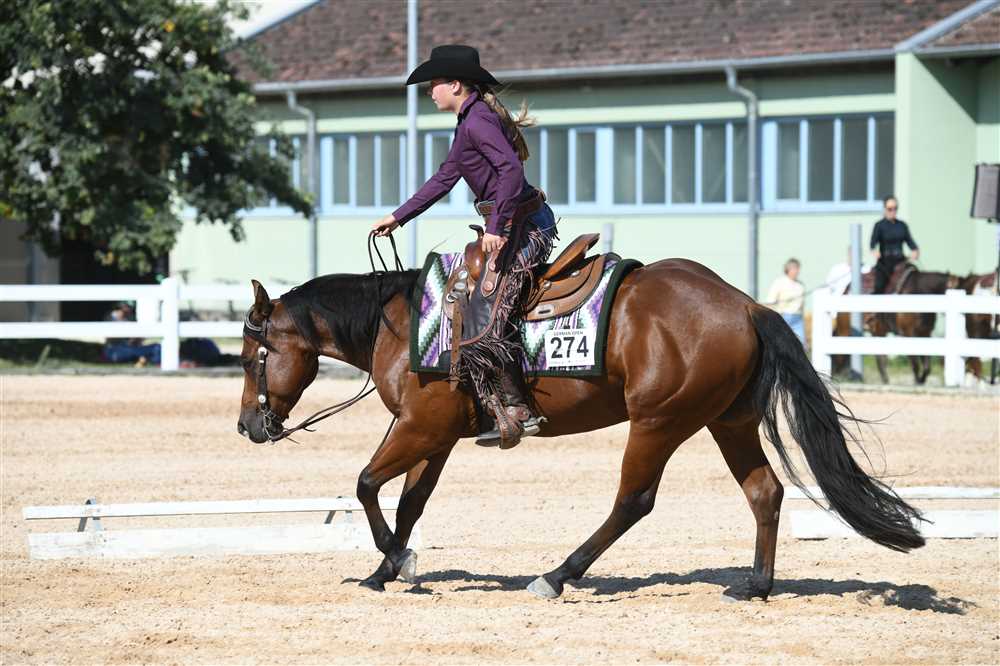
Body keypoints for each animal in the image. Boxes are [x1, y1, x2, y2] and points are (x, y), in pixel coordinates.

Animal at [236, 252, 924, 601]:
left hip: (658, 421)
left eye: (252, 356)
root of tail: (746, 304)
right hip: (726, 422)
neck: (402, 323)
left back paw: (558, 575)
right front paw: (389, 567)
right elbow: (408, 501)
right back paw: (754, 585)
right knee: (764, 492)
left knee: (634, 501)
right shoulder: (435, 437)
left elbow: (366, 484)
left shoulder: (420, 429)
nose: (247, 426)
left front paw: (390, 559)